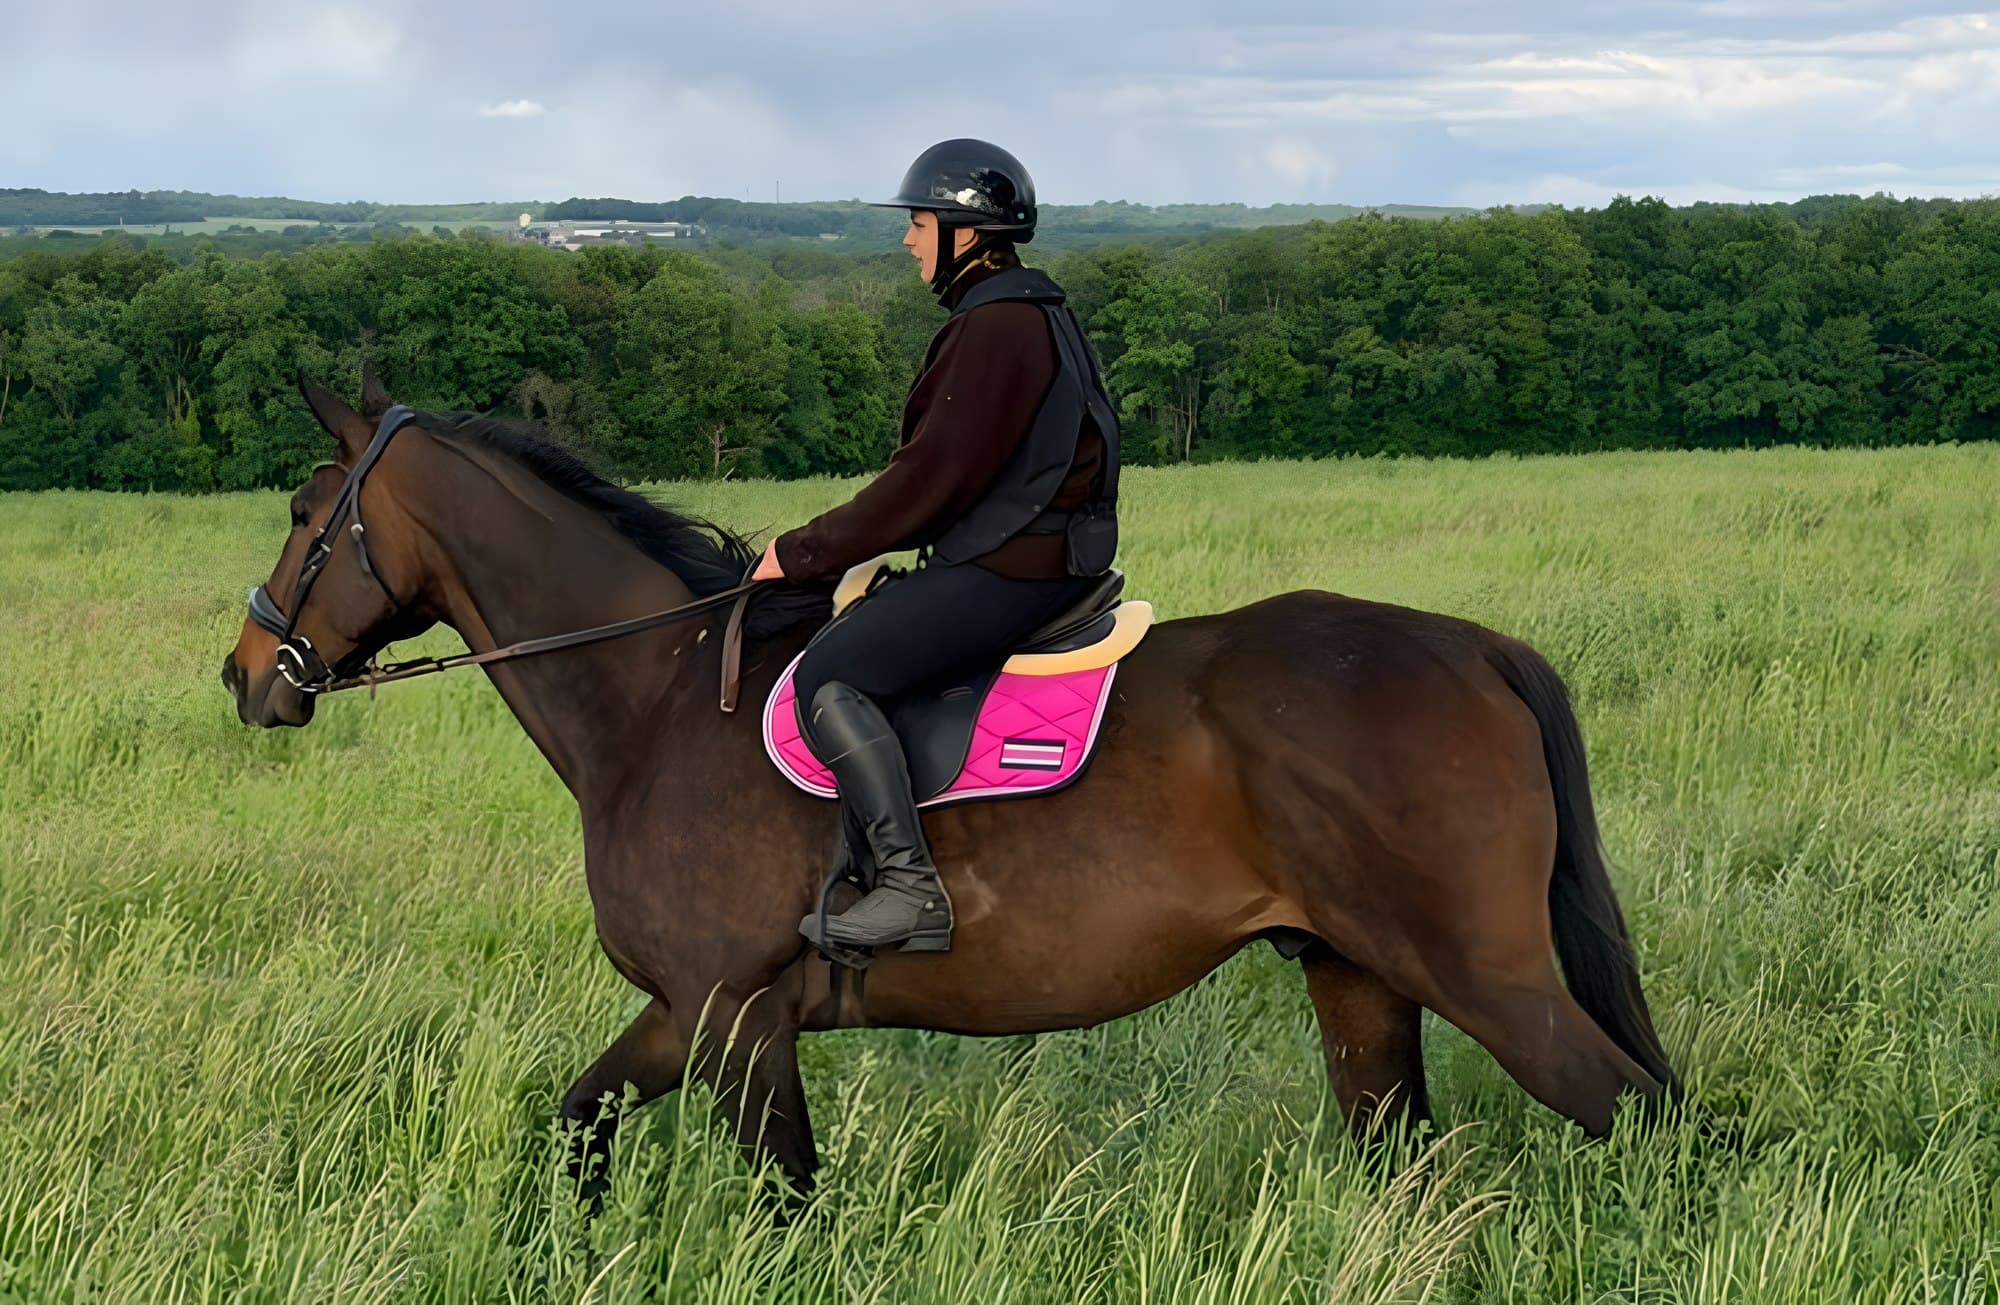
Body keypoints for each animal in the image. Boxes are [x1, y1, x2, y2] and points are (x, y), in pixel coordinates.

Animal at [222, 379, 1676, 1197]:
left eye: (302, 514)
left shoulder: (737, 1019)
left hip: (1484, 978)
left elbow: (786, 1204)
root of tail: (1471, 646)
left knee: (1647, 1122)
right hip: (1357, 978)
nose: (246, 675)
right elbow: (580, 1126)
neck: (655, 697)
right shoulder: (689, 1012)